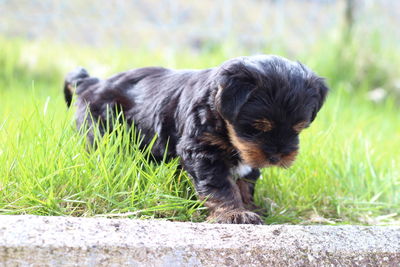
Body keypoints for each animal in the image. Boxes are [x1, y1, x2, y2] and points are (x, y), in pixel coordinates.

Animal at [63, 55, 328, 225]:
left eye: (298, 128)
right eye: (256, 127)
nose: (277, 156)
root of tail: (91, 82)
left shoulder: (247, 156)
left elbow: (244, 182)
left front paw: (250, 207)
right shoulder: (203, 149)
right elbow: (221, 185)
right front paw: (234, 214)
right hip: (102, 131)